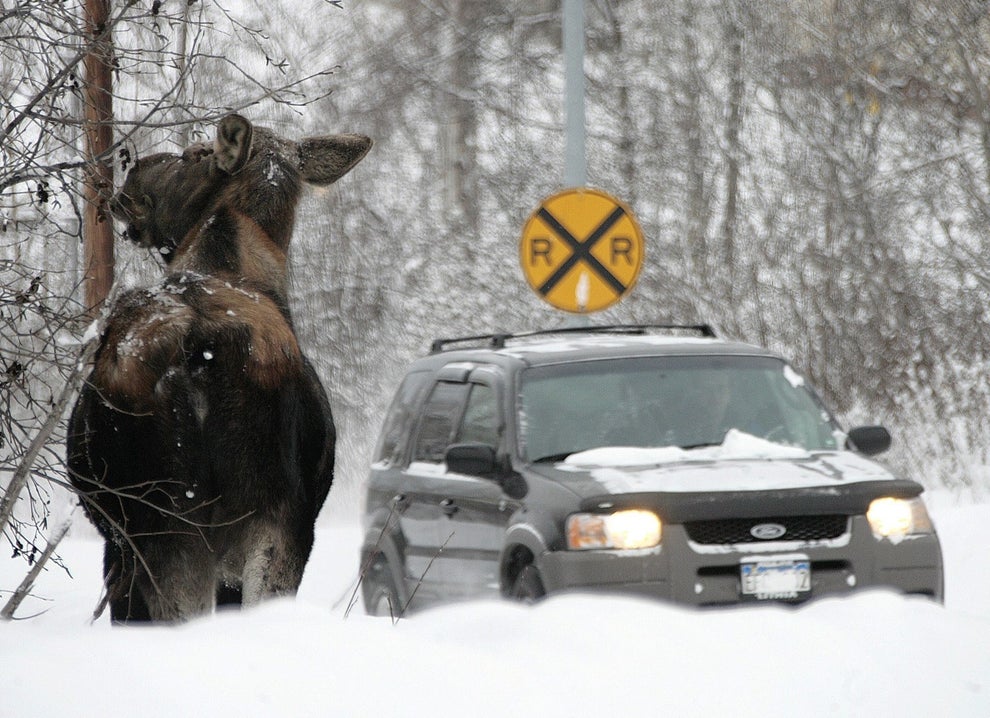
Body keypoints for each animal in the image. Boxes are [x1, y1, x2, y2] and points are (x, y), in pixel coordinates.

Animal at [67, 114, 371, 623]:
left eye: (196, 153)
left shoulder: (116, 545)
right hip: (278, 526)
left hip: (166, 524)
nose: (132, 173)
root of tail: (198, 348)